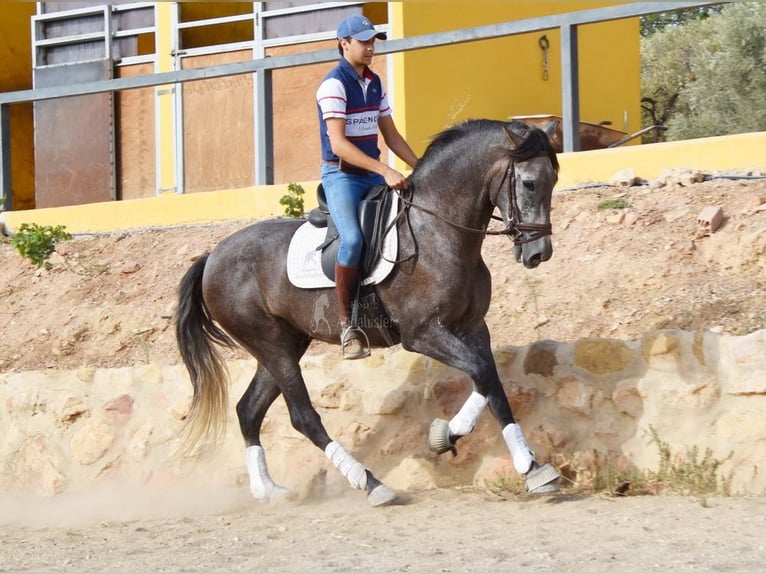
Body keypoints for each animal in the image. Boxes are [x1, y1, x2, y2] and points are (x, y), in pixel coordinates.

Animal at [180, 119, 564, 506]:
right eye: (529, 183)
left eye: (553, 181)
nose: (539, 253)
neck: (438, 230)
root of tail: (212, 256)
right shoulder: (422, 333)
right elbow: (482, 373)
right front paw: (446, 434)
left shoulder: (473, 327)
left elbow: (493, 385)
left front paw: (532, 468)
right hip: (271, 344)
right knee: (303, 417)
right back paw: (370, 483)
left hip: (285, 343)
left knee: (248, 410)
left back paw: (268, 490)